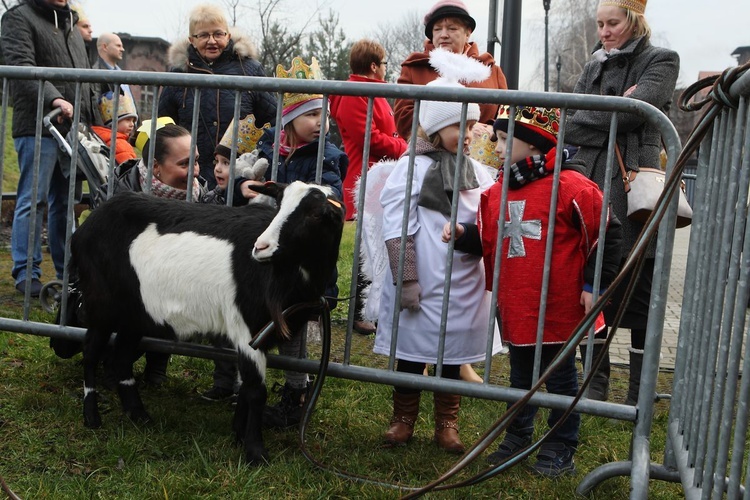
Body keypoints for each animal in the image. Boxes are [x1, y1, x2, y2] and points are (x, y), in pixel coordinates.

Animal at [69, 181, 346, 464]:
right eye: (279, 205)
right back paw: (91, 415)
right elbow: (256, 391)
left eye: (316, 214)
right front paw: (255, 452)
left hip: (135, 313)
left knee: (121, 357)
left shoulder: (262, 334)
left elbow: (245, 389)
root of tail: (86, 226)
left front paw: (239, 435)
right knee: (91, 352)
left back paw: (138, 414)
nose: (261, 247)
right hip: (101, 304)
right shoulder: (245, 329)